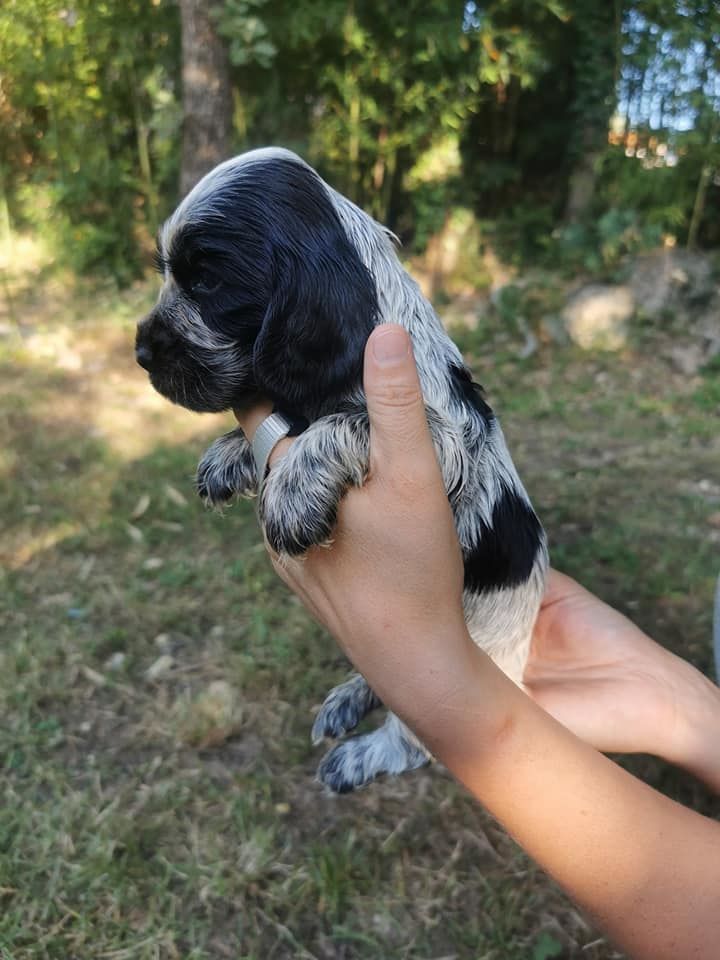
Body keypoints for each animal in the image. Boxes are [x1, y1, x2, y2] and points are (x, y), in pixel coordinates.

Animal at [136, 147, 548, 793]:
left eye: (205, 281)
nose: (141, 351)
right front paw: (231, 454)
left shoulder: (443, 447)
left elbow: (349, 422)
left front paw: (294, 487)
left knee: (412, 741)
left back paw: (362, 754)